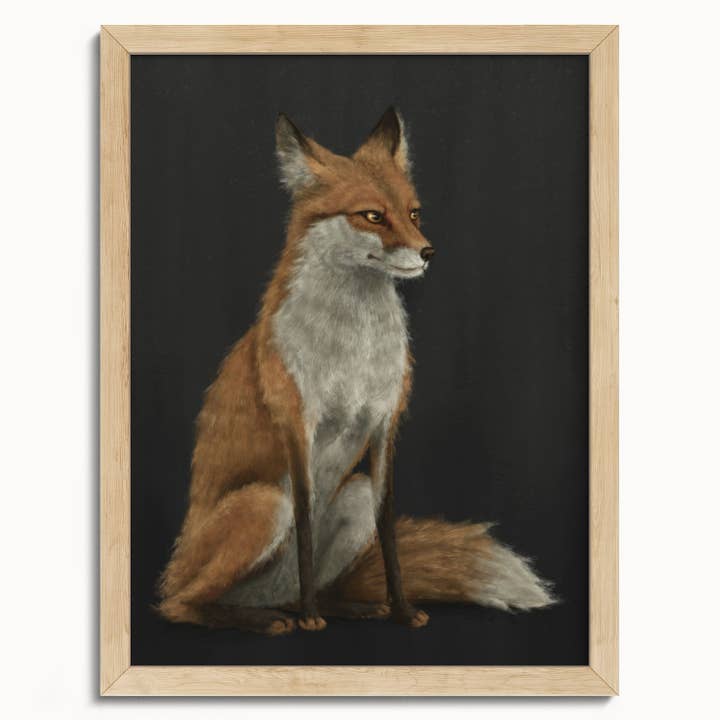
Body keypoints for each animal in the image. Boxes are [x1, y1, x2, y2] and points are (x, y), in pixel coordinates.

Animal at [157, 107, 554, 635]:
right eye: (372, 215)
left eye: (413, 213)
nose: (428, 252)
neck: (354, 348)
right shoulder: (298, 426)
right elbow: (305, 525)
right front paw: (311, 620)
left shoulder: (385, 424)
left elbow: (389, 534)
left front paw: (401, 610)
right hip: (264, 503)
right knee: (180, 604)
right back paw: (271, 618)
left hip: (354, 495)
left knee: (306, 586)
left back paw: (343, 607)